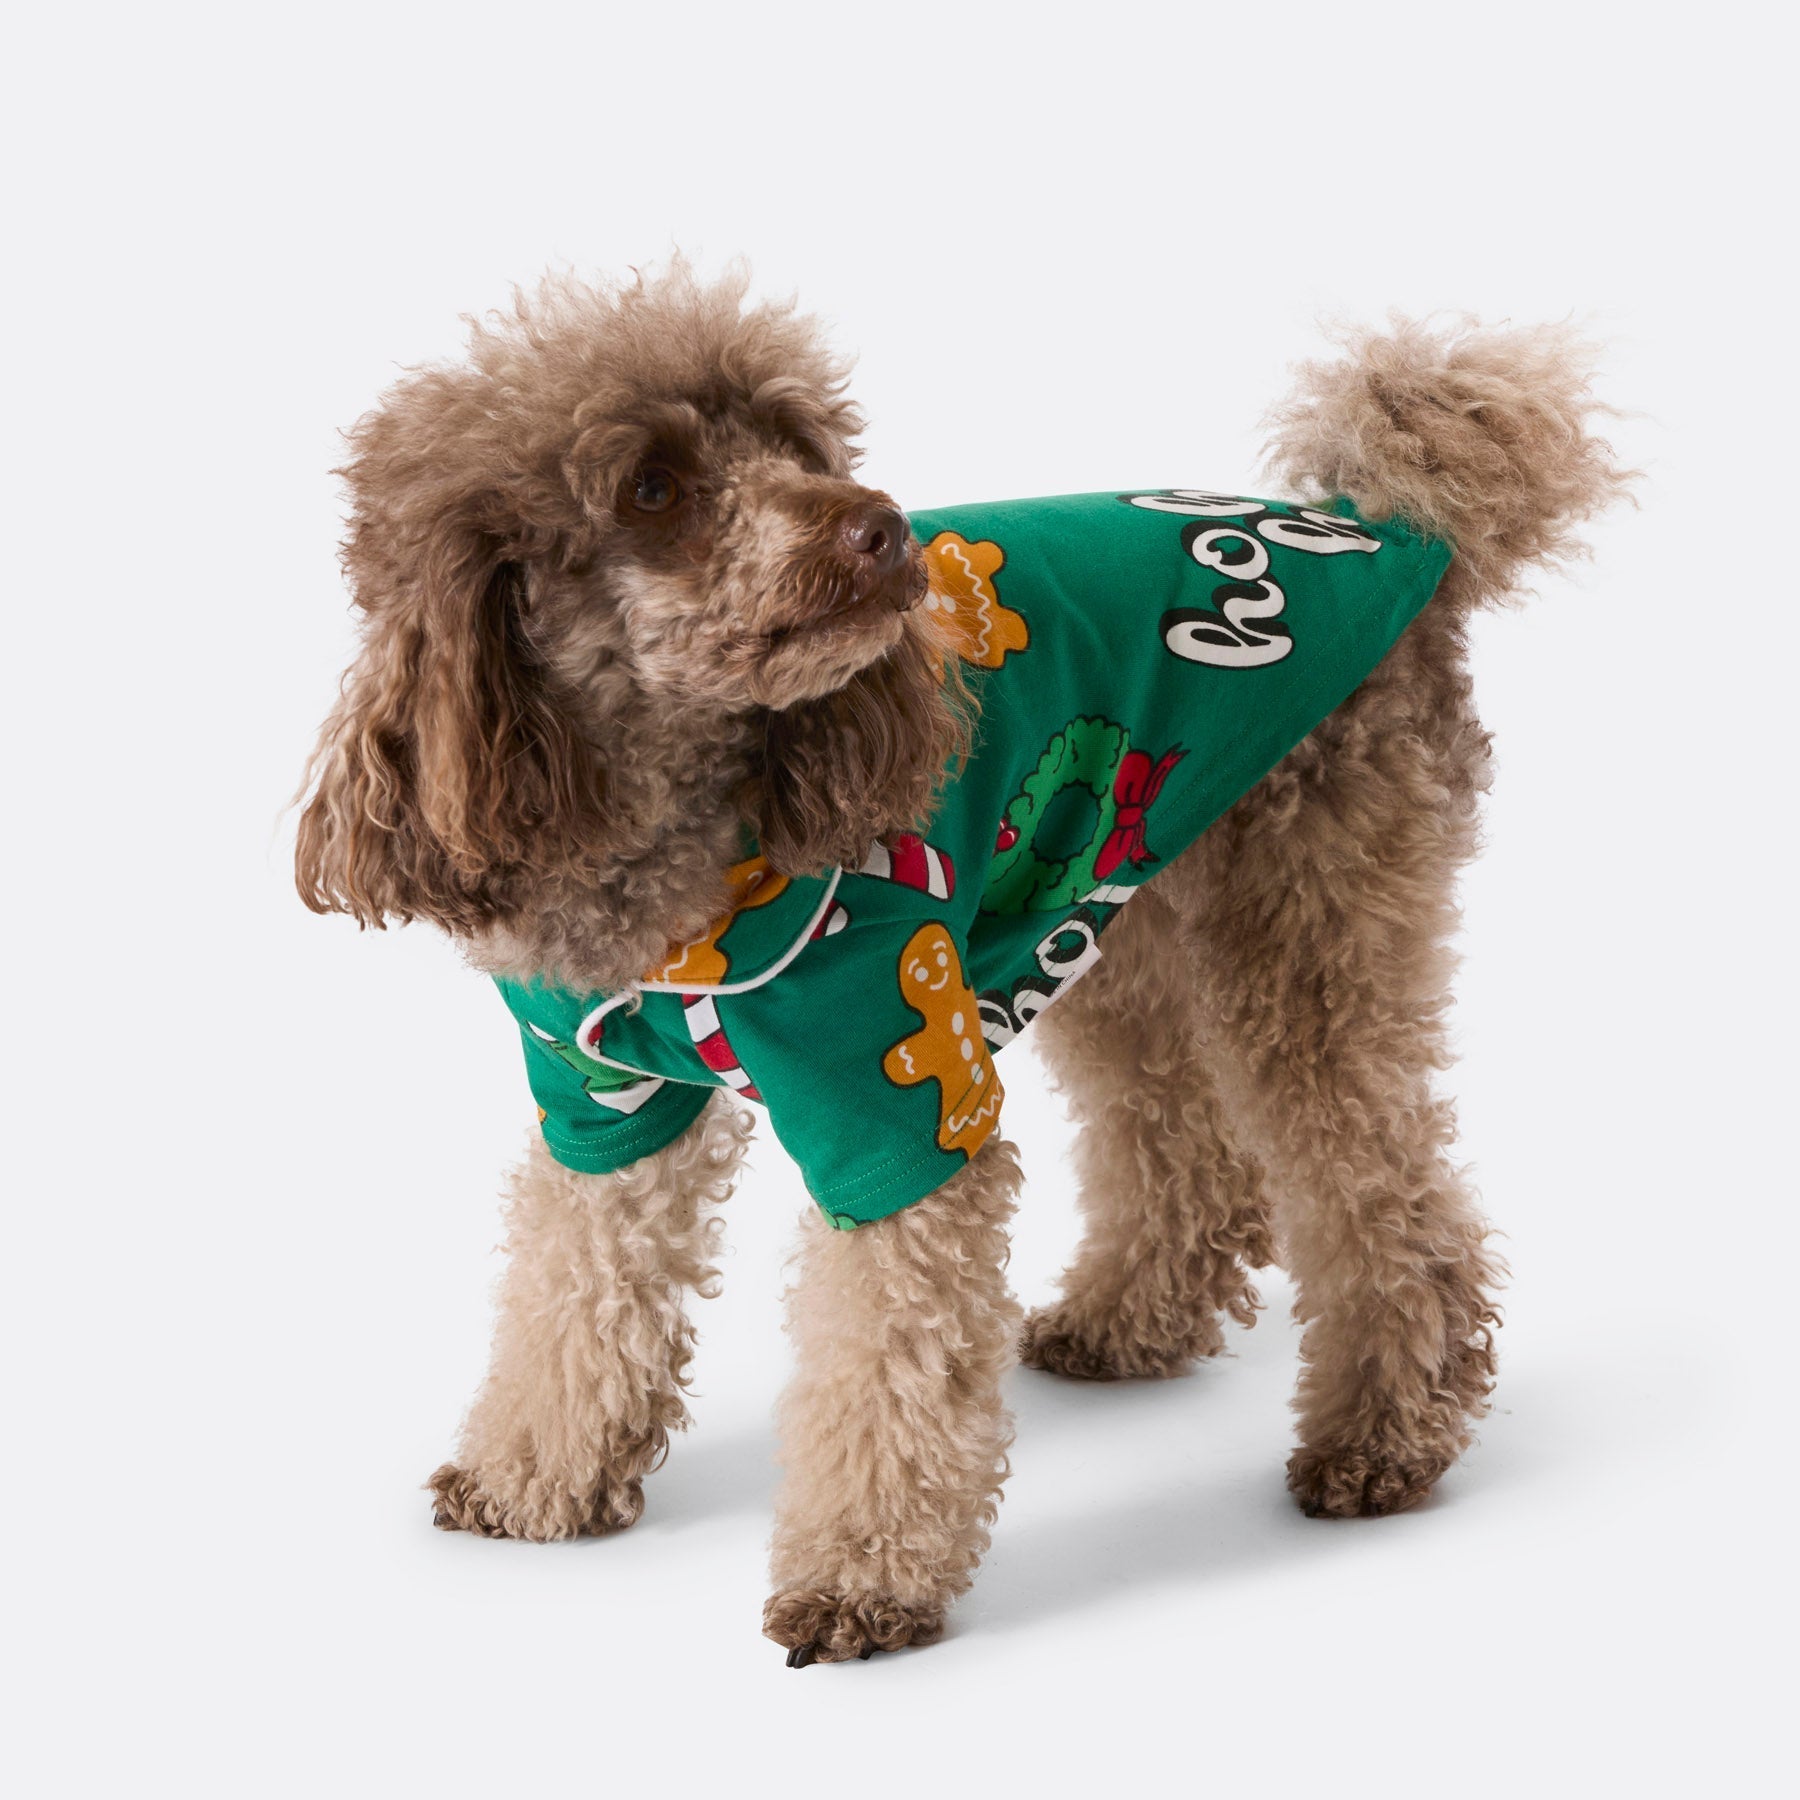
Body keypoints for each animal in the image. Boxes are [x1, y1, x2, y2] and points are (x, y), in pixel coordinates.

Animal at [296, 264, 1626, 1664]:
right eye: (653, 487)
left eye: (799, 445)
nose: (880, 528)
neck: (678, 843)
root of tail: (1384, 532)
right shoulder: (597, 1103)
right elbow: (574, 1285)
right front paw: (533, 1476)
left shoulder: (893, 1090)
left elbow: (890, 1341)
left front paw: (862, 1577)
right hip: (1098, 905)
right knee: (1183, 1145)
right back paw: (1127, 1325)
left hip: (1306, 920)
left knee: (1380, 1189)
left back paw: (1386, 1437)